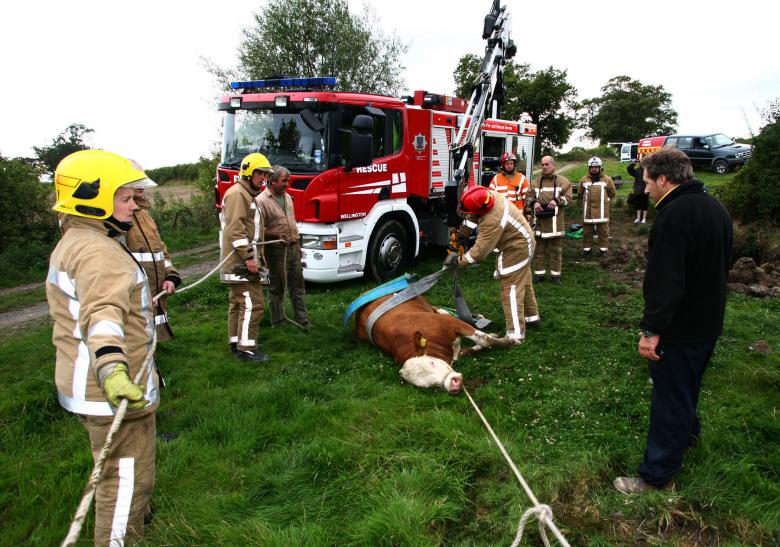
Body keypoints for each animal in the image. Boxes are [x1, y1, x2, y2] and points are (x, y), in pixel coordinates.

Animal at [355, 294, 519, 395]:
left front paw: (510, 342)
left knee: (446, 311)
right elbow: (475, 347)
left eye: (432, 362)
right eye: (427, 386)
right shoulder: (455, 349)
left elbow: (483, 339)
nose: (454, 384)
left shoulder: (449, 323)